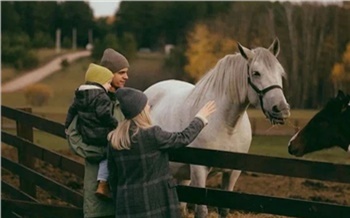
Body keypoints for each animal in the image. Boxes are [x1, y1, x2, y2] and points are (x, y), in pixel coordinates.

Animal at [144, 38, 292, 217]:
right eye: (256, 73)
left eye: (280, 73)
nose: (281, 109)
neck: (227, 126)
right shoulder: (199, 170)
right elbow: (201, 211)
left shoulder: (232, 172)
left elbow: (224, 209)